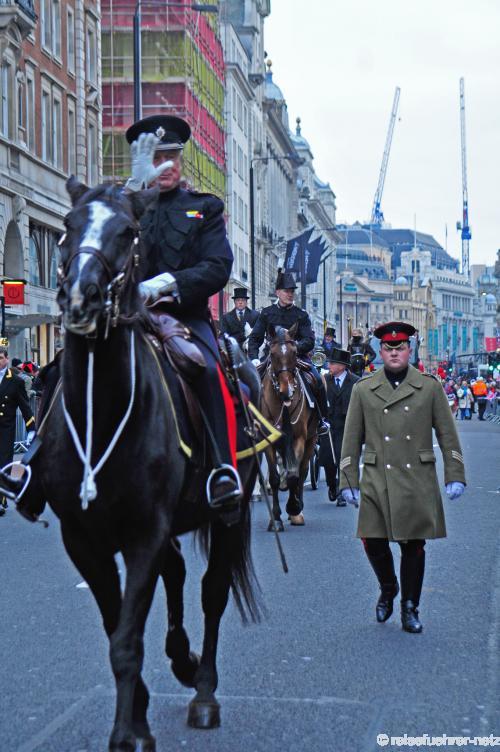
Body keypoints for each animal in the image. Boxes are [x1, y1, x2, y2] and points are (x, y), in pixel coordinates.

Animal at [260, 326, 318, 532]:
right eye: (272, 353)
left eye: (294, 352)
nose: (287, 391)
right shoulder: (268, 440)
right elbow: (275, 477)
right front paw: (276, 518)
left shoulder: (298, 438)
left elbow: (294, 475)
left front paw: (293, 507)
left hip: (312, 439)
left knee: (302, 471)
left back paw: (297, 510)